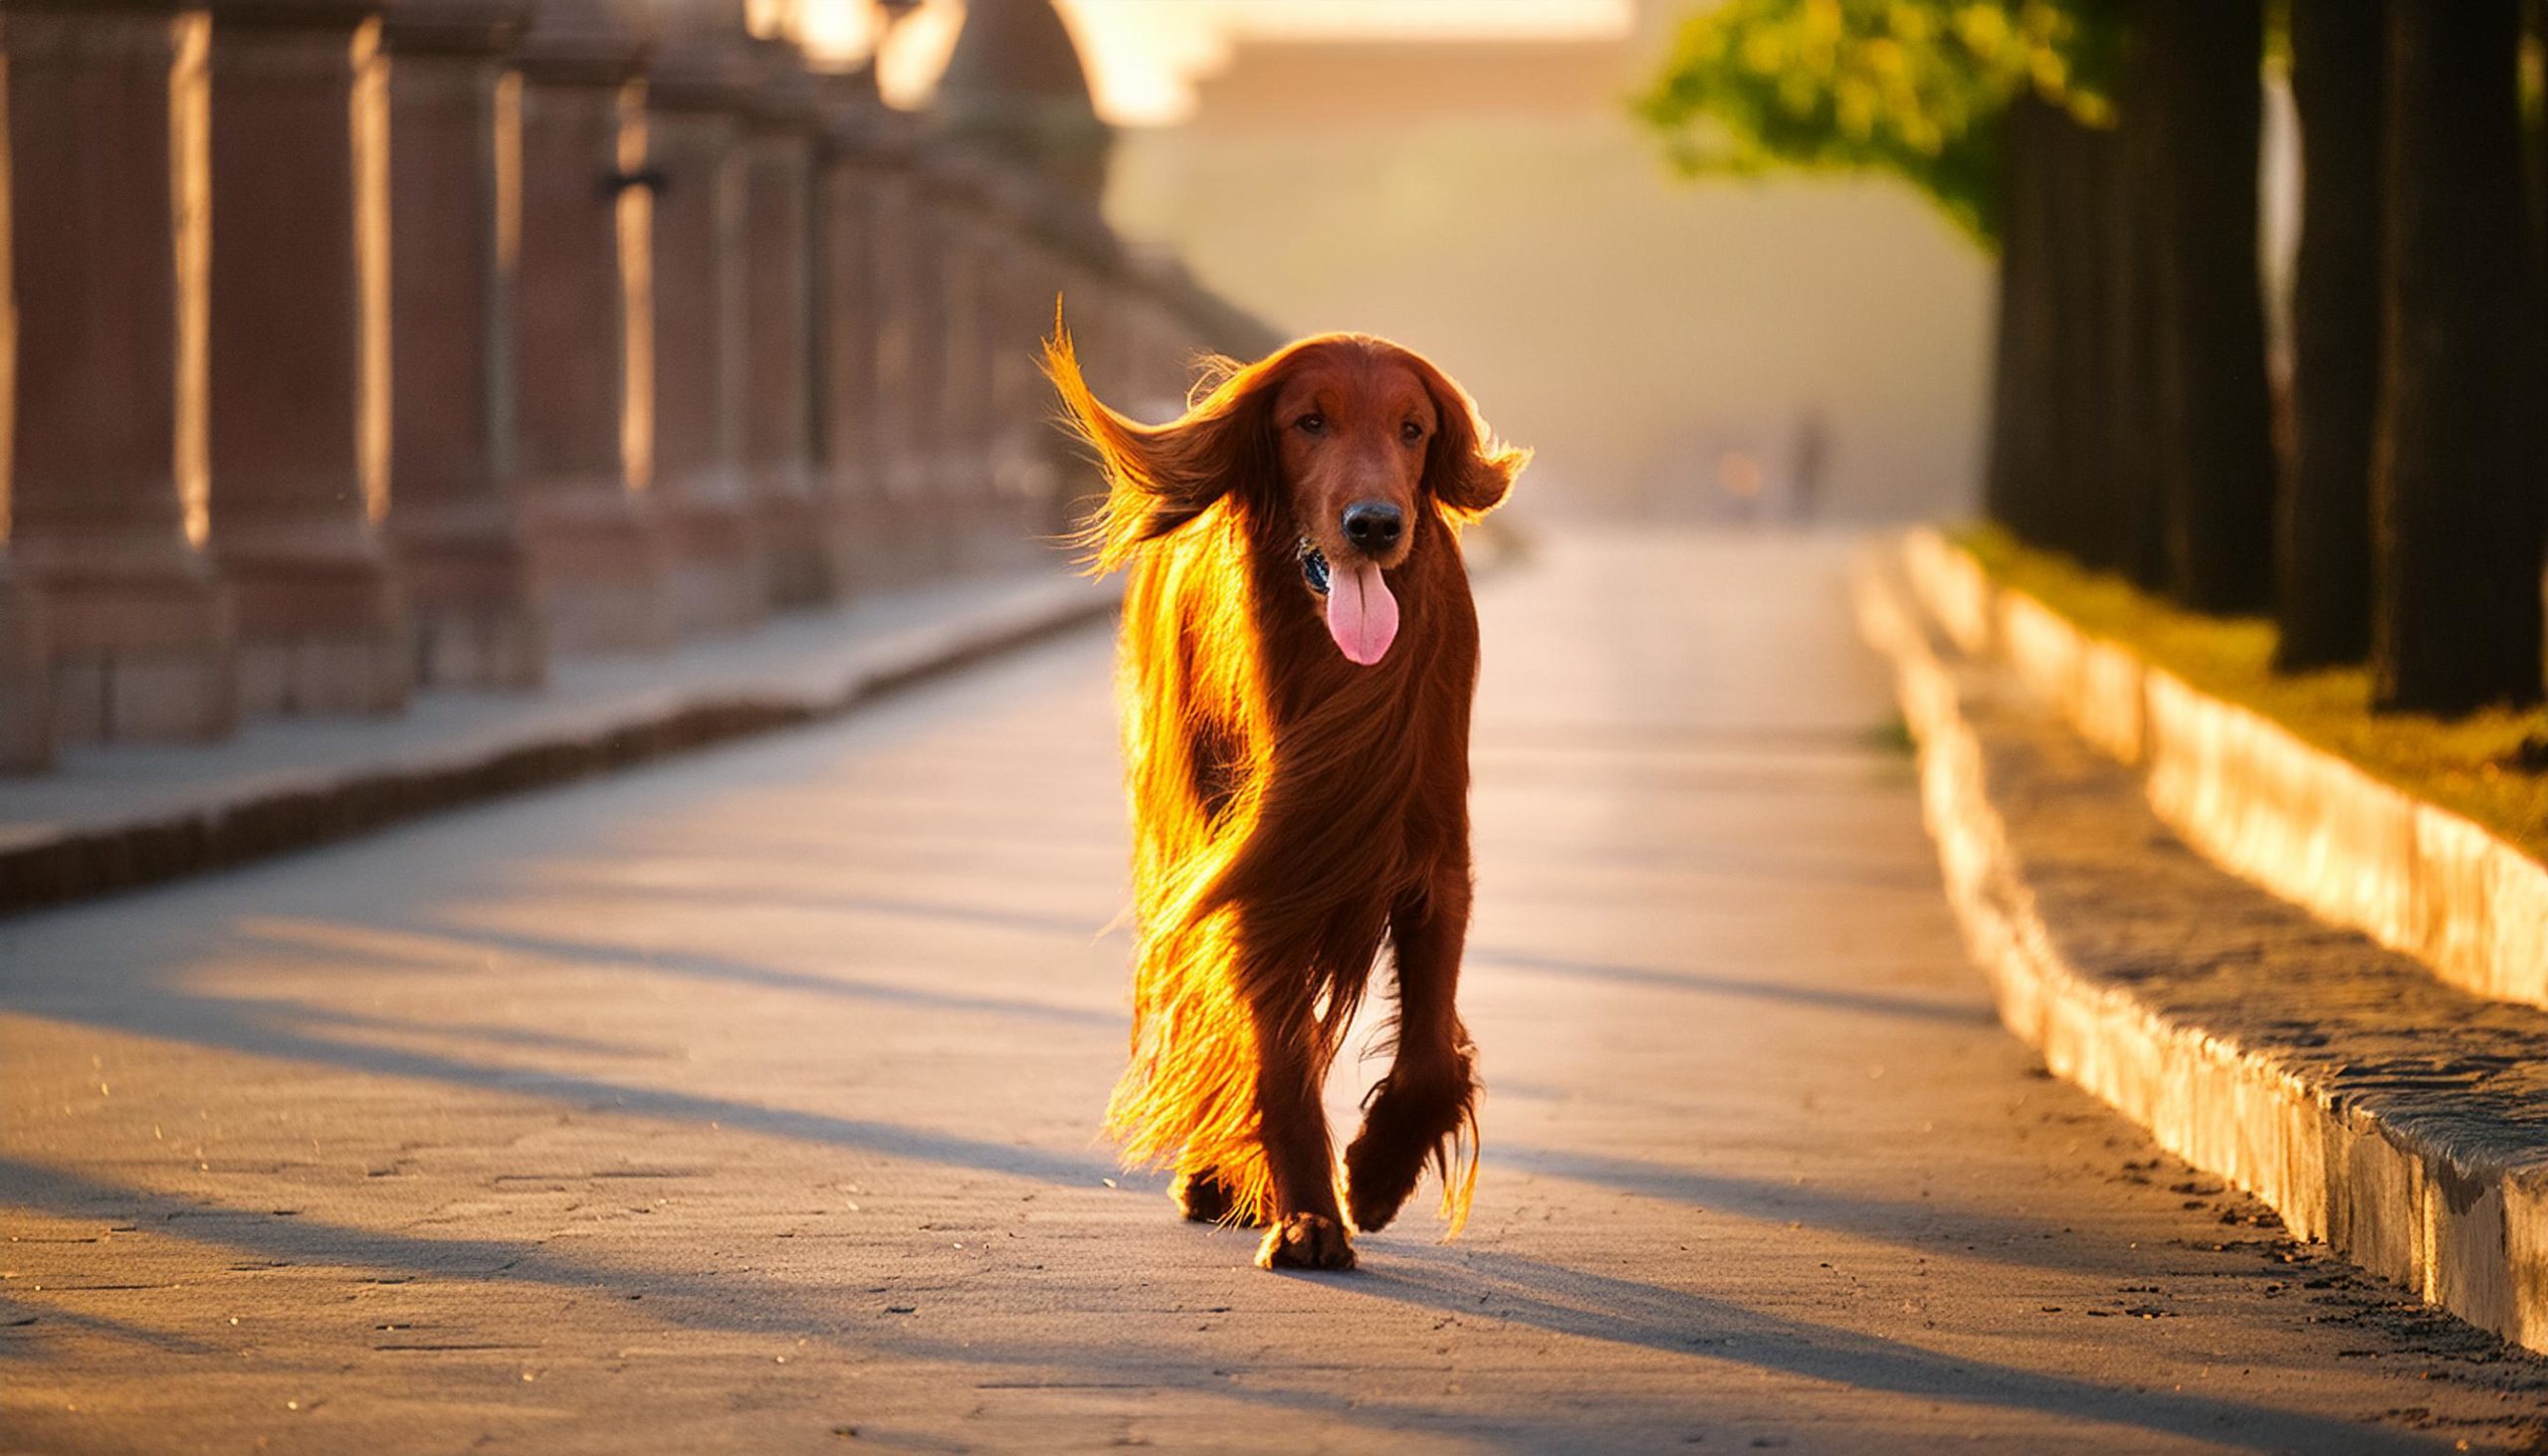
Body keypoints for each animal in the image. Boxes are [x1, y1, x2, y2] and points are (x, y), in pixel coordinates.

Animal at [1044, 325, 1518, 1264]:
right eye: (1309, 421)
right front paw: (1309, 1214)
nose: (1374, 525)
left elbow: (1429, 1052)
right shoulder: (1257, 868)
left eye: (1413, 428)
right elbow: (1277, 1049)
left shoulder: (1437, 856)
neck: (1337, 663)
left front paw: (1376, 1173)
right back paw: (1217, 1173)